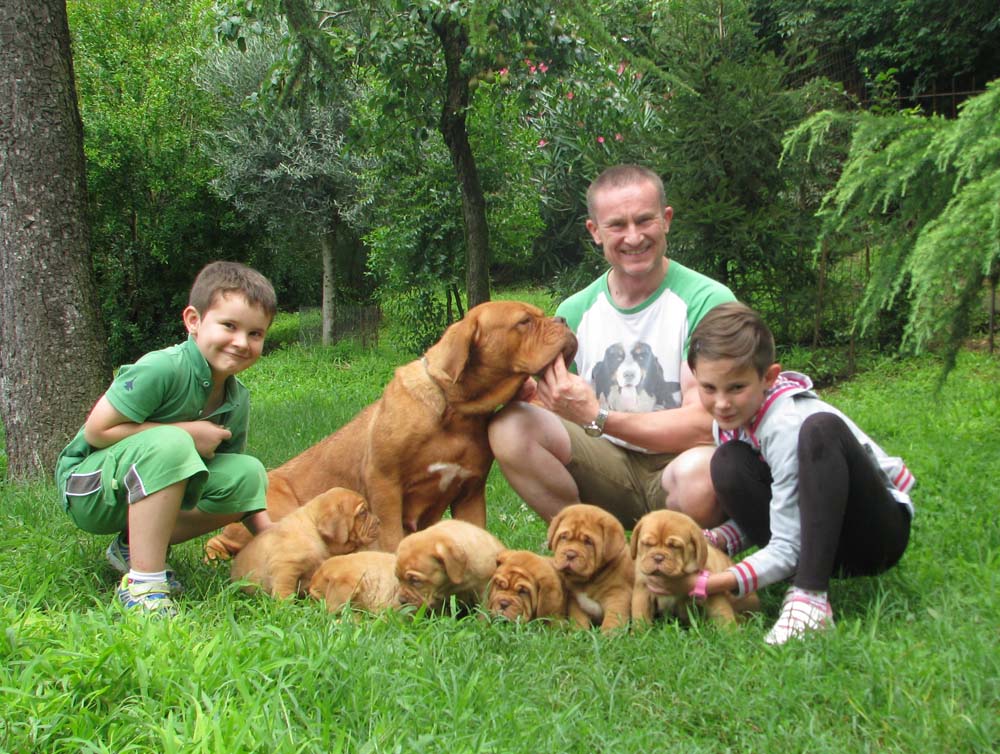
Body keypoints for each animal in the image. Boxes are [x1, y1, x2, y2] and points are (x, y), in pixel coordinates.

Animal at [205, 300, 580, 560]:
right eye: (524, 322)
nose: (562, 320)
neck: (456, 413)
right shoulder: (384, 482)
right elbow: (390, 536)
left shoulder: (470, 492)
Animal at [229, 488, 378, 600]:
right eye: (363, 512)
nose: (379, 521)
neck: (314, 531)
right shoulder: (285, 567)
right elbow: (284, 590)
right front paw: (285, 607)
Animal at [548, 502, 632, 632]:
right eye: (563, 537)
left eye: (588, 542)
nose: (570, 554)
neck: (590, 580)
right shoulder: (576, 602)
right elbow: (578, 620)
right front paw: (578, 633)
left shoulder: (618, 595)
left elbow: (612, 620)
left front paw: (608, 635)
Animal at [628, 508, 760, 624]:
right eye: (647, 544)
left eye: (675, 546)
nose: (658, 558)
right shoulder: (642, 591)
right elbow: (640, 617)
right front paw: (639, 633)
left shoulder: (714, 594)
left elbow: (722, 614)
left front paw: (730, 633)